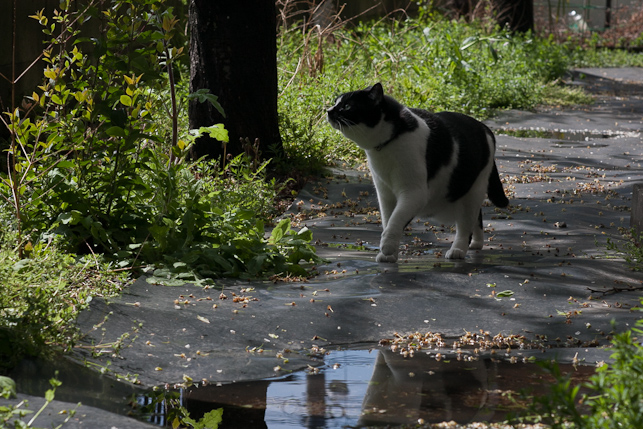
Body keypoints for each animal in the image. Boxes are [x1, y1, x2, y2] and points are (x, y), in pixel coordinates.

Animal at [330, 81, 510, 260]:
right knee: (477, 217)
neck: (388, 145)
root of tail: (485, 128)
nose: (329, 111)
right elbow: (388, 220)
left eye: (347, 106)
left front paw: (387, 246)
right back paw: (476, 243)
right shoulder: (385, 194)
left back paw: (458, 250)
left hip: (474, 191)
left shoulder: (414, 193)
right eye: (335, 102)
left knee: (466, 224)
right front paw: (389, 256)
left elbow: (397, 218)